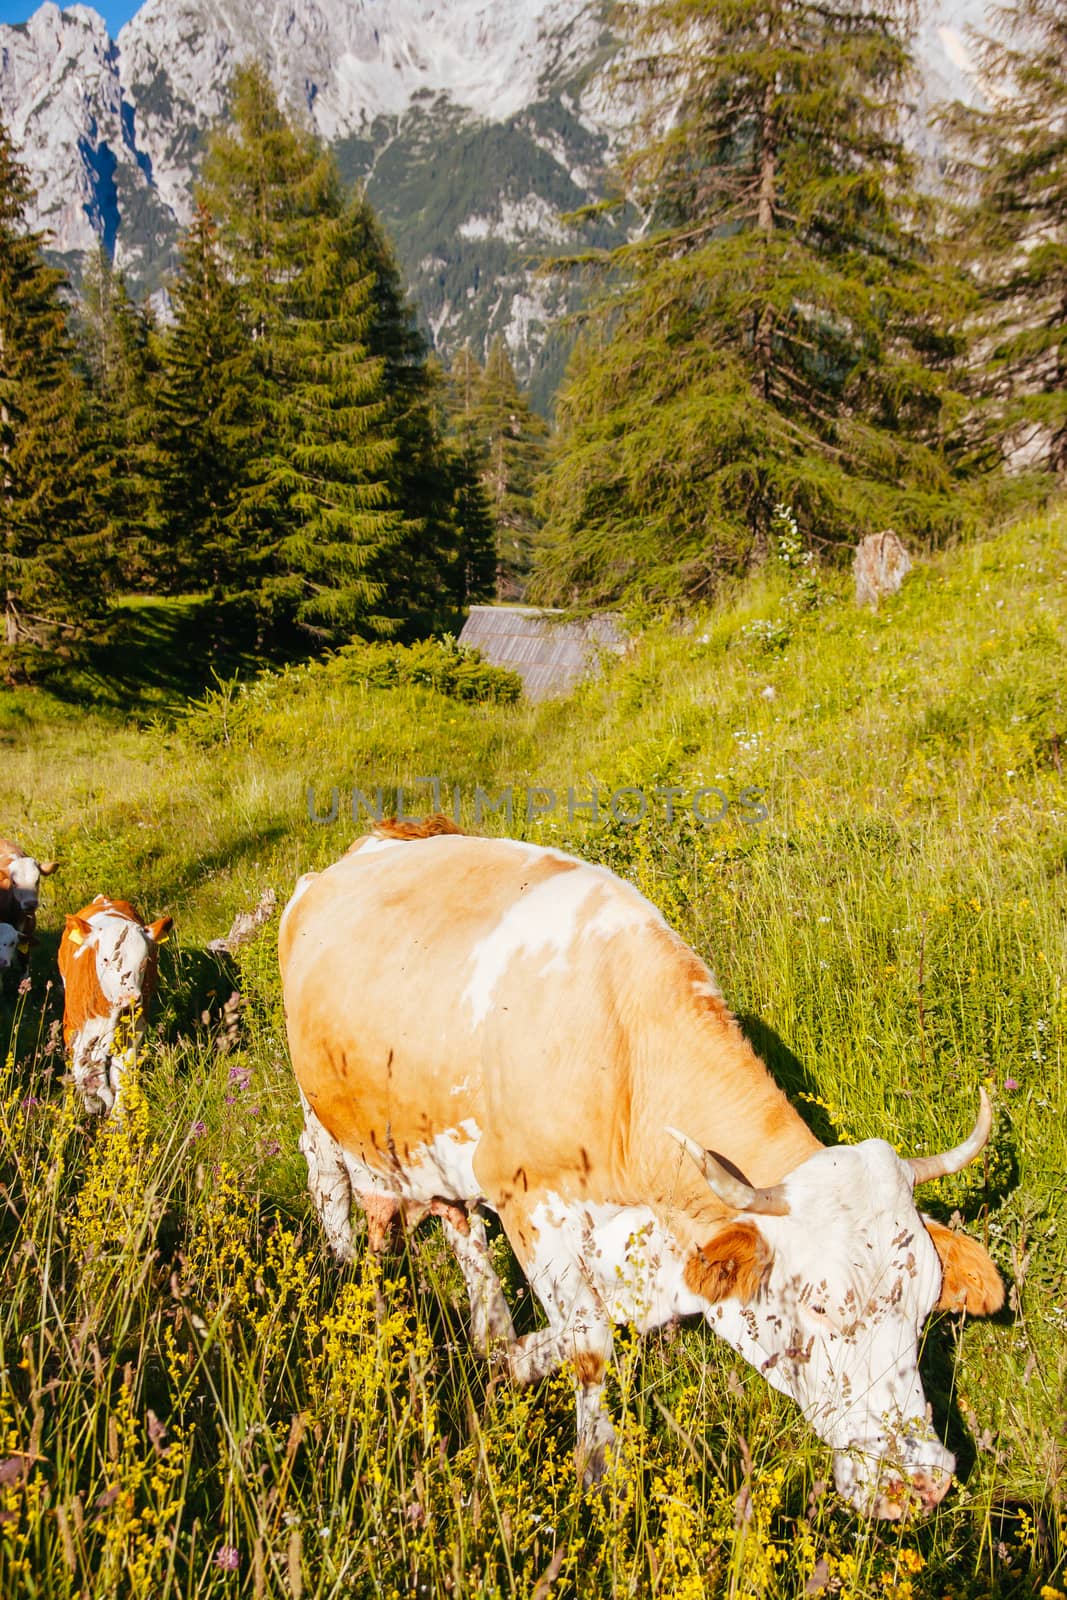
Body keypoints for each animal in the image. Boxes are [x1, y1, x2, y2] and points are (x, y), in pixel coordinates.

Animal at [58, 889, 173, 1113]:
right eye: (105, 959)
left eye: (145, 961)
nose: (129, 999)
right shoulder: (73, 1031)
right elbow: (81, 1070)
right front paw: (94, 1104)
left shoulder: (135, 1027)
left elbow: (122, 1072)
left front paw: (118, 1115)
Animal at [279, 819, 1004, 1516]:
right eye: (822, 1307)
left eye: (924, 1308)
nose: (921, 1484)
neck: (625, 1056)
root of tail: (369, 843)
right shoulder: (529, 1202)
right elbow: (590, 1339)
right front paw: (598, 1472)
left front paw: (516, 1357)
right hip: (324, 1110)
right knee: (330, 1175)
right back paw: (352, 1269)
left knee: (459, 1225)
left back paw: (488, 1331)